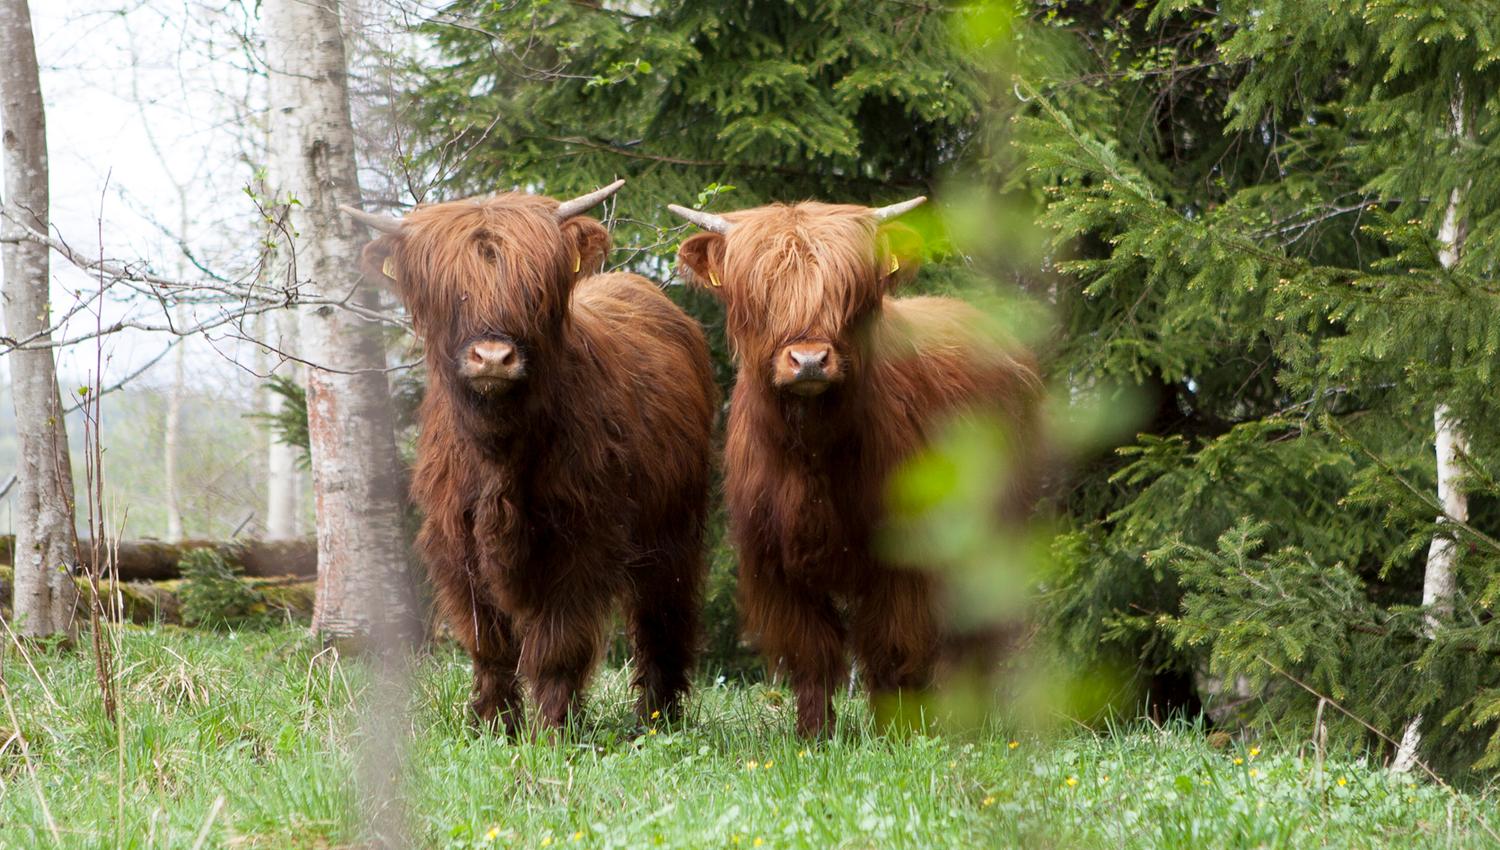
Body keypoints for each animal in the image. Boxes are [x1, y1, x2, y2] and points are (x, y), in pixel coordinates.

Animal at [342, 182, 717, 734]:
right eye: (451, 293)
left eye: (532, 290)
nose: (493, 358)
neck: (499, 450)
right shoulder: (454, 541)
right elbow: (487, 642)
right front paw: (493, 723)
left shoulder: (580, 538)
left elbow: (557, 644)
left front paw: (553, 728)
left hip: (673, 527)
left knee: (662, 616)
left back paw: (657, 715)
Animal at [667, 197, 1042, 738]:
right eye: (761, 294)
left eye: (848, 292)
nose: (808, 360)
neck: (813, 457)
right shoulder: (772, 561)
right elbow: (811, 652)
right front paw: (813, 735)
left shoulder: (903, 558)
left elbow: (893, 648)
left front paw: (898, 732)